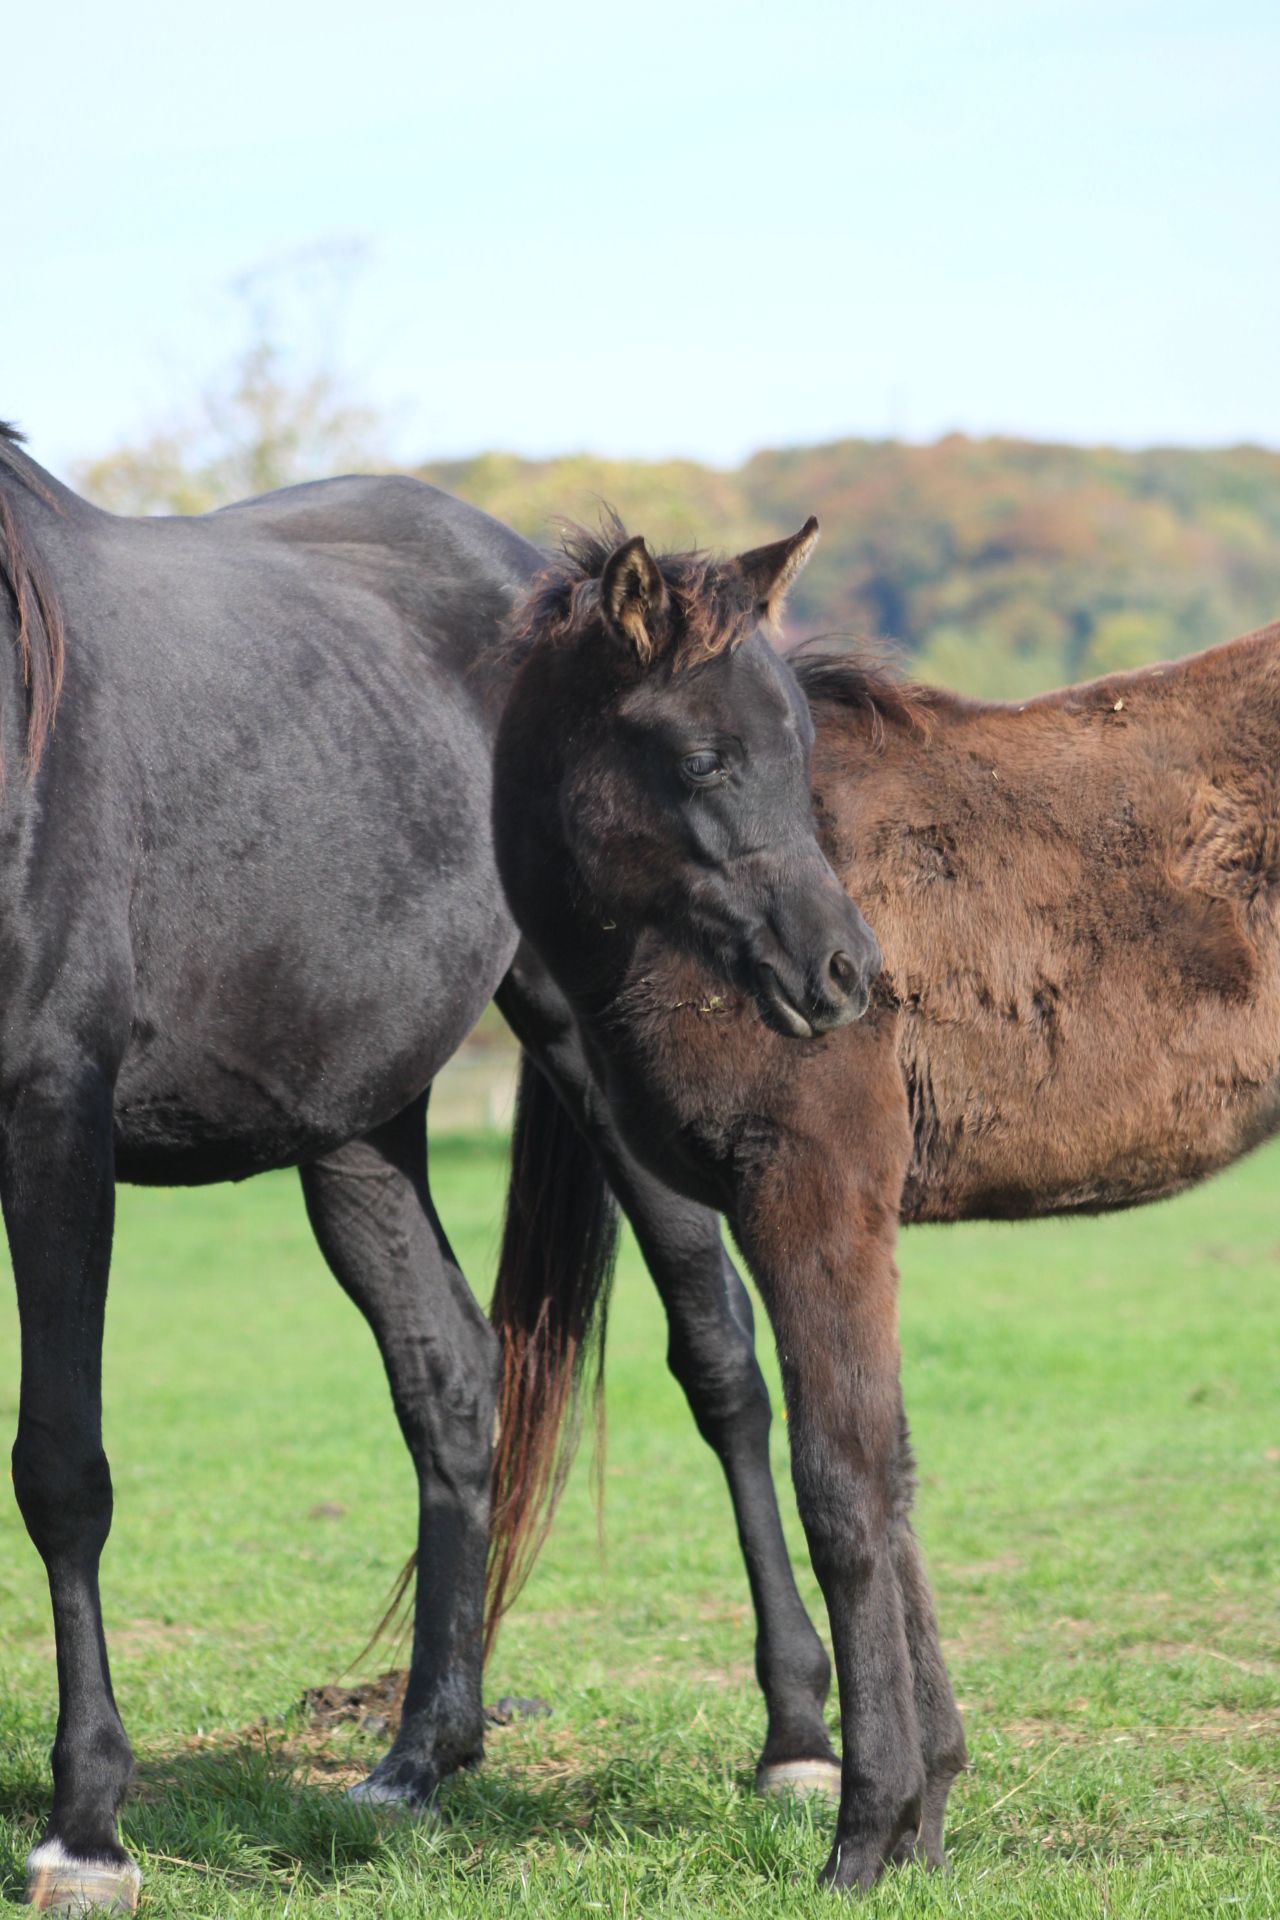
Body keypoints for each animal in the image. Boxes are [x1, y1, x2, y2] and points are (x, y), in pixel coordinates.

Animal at [0, 425, 873, 1914]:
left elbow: (62, 1468)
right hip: (357, 1128)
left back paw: (796, 1742)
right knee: (451, 1377)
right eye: (703, 756)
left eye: (800, 749)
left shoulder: (54, 1109)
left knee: (719, 1358)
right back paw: (422, 1755)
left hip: (590, 1061)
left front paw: (87, 1829)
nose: (841, 970)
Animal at [488, 528, 1280, 1890]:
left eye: (798, 754)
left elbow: (840, 1485)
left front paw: (862, 1830)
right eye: (701, 758)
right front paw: (927, 1815)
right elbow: (891, 1469)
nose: (842, 976)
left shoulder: (814, 1194)